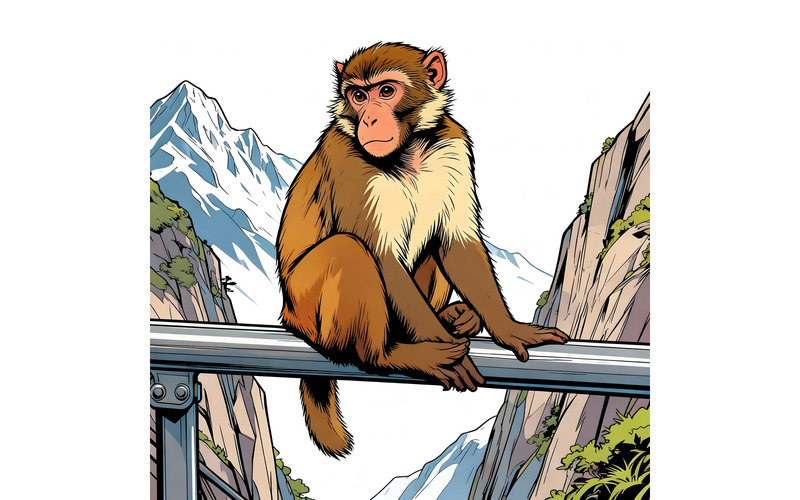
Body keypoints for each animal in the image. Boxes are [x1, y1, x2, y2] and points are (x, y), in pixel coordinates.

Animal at [276, 42, 569, 458]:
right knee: (349, 250)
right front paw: (444, 348)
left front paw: (509, 329)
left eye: (386, 91)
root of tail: (288, 313)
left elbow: (457, 243)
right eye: (358, 96)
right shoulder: (348, 159)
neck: (408, 151)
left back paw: (456, 317)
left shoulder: (452, 147)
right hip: (305, 304)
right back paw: (389, 354)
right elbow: (381, 257)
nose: (369, 120)